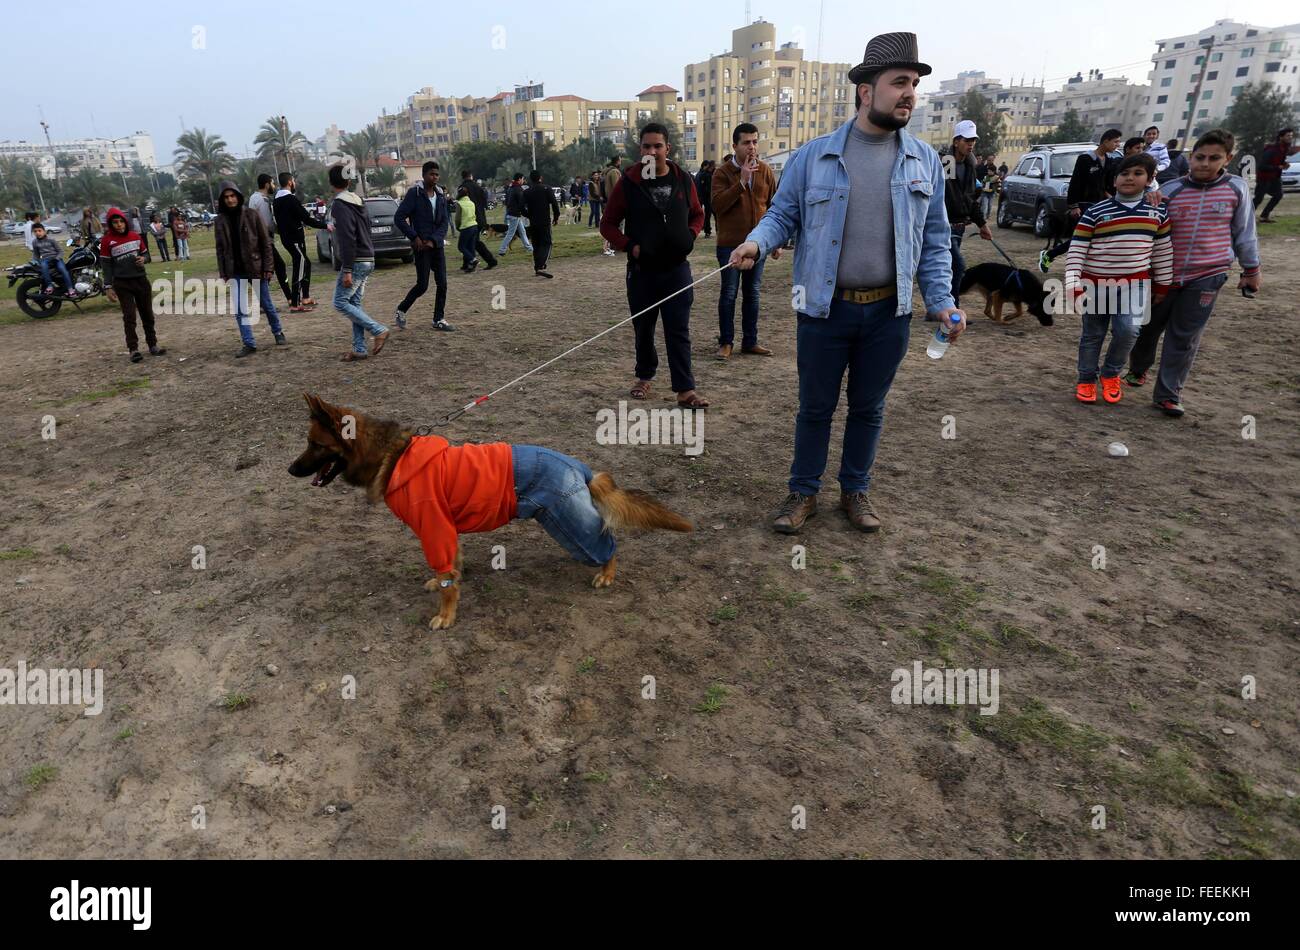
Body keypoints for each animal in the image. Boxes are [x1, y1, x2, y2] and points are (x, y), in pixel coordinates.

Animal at [284, 395, 691, 631]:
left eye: (314, 444)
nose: (289, 470)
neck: (393, 456)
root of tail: (580, 467)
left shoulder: (435, 527)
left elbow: (447, 582)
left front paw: (446, 615)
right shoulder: (445, 532)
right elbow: (450, 570)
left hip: (566, 523)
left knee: (607, 542)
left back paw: (607, 573)